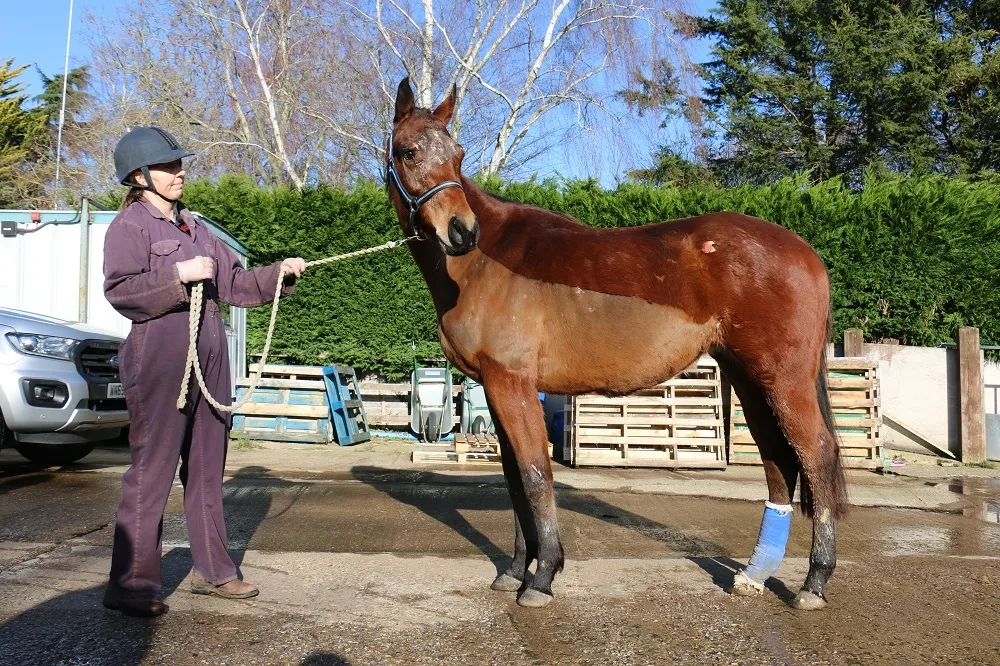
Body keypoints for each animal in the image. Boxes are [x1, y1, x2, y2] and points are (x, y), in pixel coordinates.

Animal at [384, 77, 847, 610]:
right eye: (410, 151)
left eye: (457, 155)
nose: (462, 231)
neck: (483, 263)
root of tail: (807, 254)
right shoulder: (499, 389)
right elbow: (515, 480)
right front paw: (517, 570)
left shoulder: (512, 384)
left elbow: (536, 475)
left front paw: (543, 577)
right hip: (751, 380)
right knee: (778, 461)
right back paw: (755, 573)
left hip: (784, 380)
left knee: (817, 455)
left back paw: (814, 582)